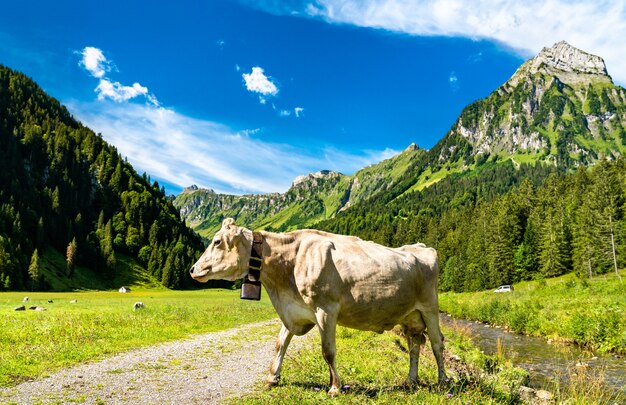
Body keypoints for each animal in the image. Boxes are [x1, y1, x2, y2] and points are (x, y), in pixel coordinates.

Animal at [188, 218, 442, 394]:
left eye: (217, 242)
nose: (192, 269)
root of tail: (423, 247)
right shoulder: (294, 310)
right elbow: (280, 343)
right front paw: (272, 378)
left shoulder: (326, 309)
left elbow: (328, 351)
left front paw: (335, 387)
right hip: (410, 315)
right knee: (414, 345)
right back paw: (410, 381)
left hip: (430, 307)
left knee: (437, 344)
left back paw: (443, 381)